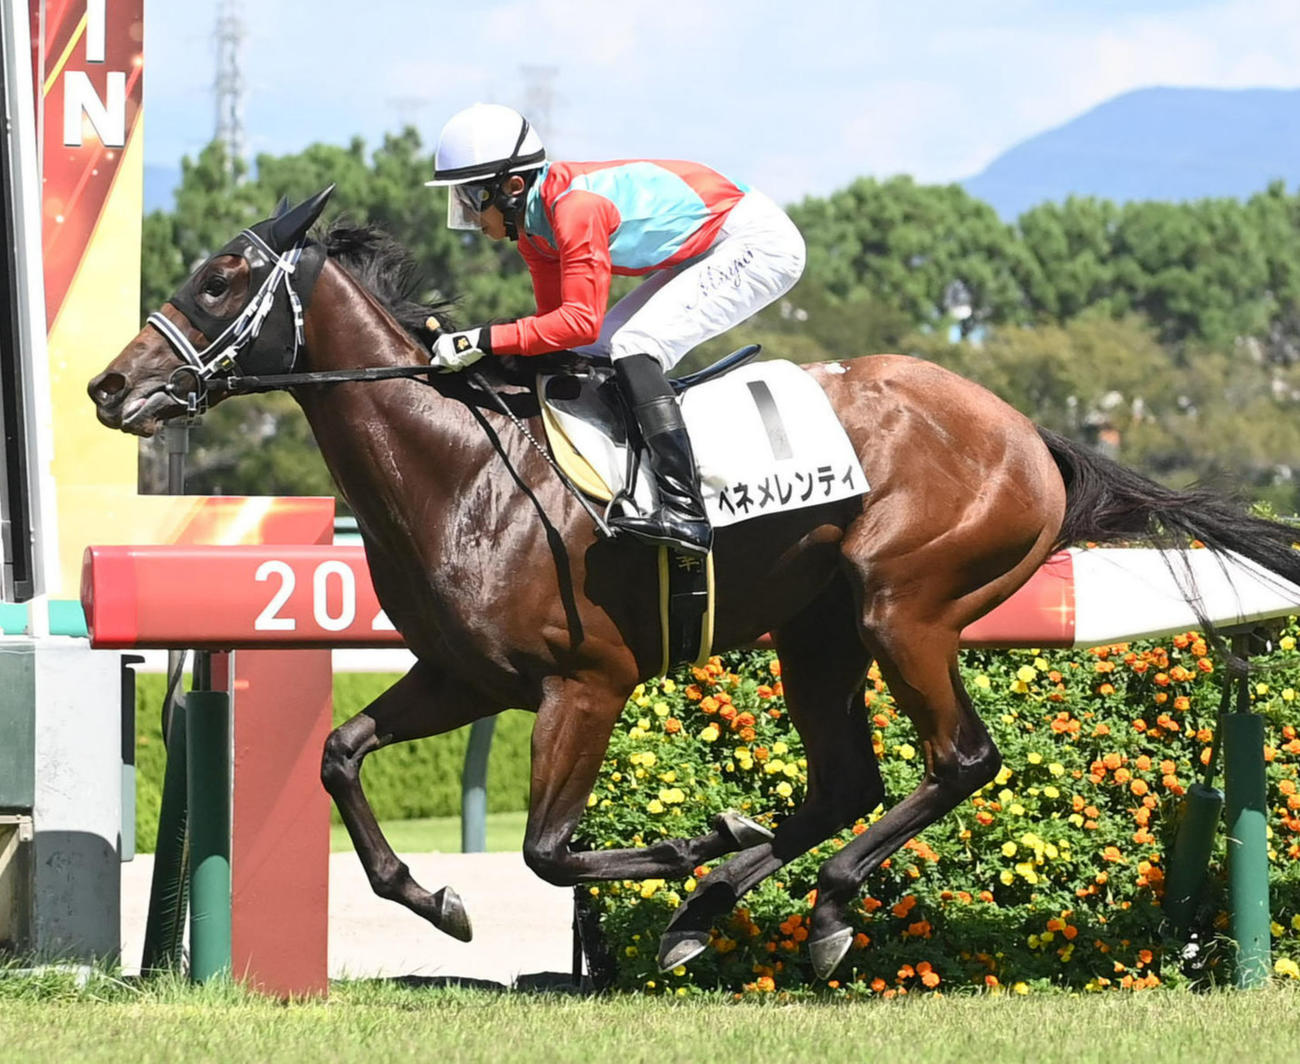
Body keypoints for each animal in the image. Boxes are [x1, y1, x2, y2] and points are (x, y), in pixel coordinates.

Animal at [88, 190, 1300, 978]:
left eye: (222, 280)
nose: (109, 385)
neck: (464, 468)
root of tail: (1030, 434)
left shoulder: (587, 681)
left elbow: (545, 849)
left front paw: (688, 842)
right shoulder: (464, 675)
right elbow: (341, 756)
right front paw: (438, 898)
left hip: (902, 605)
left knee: (958, 759)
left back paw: (812, 904)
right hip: (819, 631)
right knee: (847, 781)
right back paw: (711, 909)